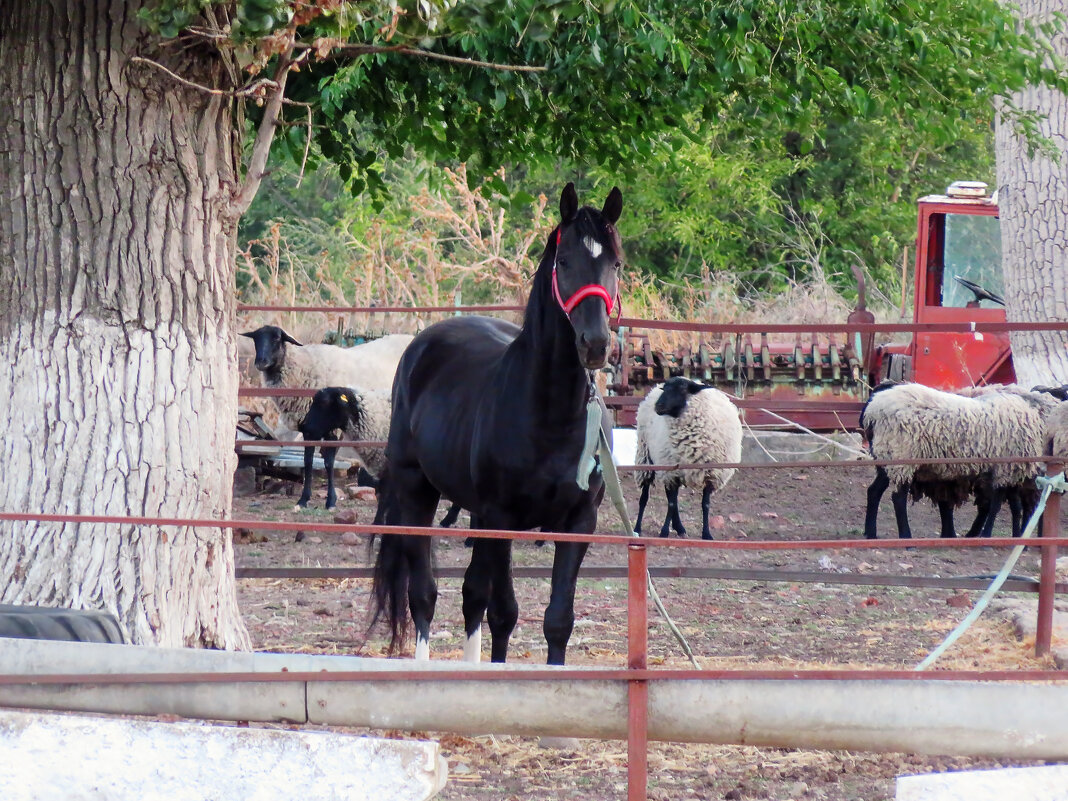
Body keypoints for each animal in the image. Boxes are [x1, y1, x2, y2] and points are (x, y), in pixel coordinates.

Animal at [375, 184, 623, 666]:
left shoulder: (579, 521)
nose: (596, 344)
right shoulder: (502, 519)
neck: (550, 416)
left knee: (472, 594)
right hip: (417, 494)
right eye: (566, 261)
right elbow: (504, 611)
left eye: (615, 263)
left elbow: (557, 620)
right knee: (424, 596)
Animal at [632, 375, 743, 540]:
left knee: (672, 498)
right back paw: (638, 528)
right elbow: (671, 504)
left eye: (682, 389)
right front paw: (664, 532)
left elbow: (705, 504)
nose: (658, 406)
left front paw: (707, 534)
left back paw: (679, 528)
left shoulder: (711, 474)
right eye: (665, 389)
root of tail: (653, 390)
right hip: (646, 457)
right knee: (645, 497)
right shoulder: (671, 472)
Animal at [862, 380, 1063, 540]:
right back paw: (906, 538)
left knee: (874, 491)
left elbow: (1013, 505)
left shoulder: (1010, 470)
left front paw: (1017, 538)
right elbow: (996, 505)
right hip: (901, 456)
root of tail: (873, 409)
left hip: (887, 456)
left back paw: (871, 533)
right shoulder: (1004, 467)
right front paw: (987, 536)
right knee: (898, 498)